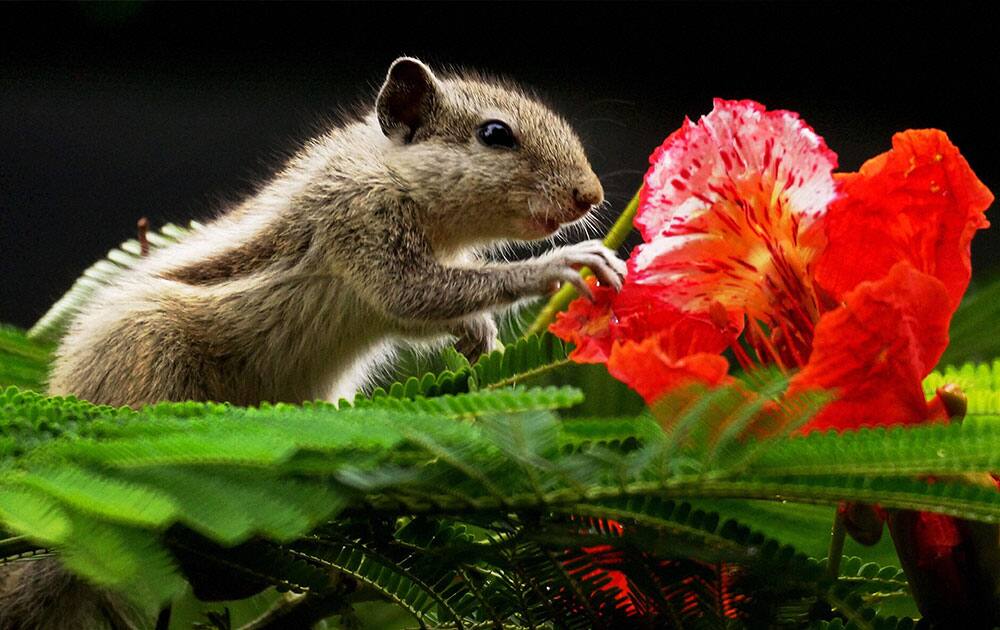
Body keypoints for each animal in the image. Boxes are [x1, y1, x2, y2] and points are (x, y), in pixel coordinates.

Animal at [0, 56, 624, 628]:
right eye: (495, 134)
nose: (589, 195)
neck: (393, 171)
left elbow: (427, 312)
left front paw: (480, 337)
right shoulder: (365, 225)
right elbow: (418, 296)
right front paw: (559, 265)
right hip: (151, 363)